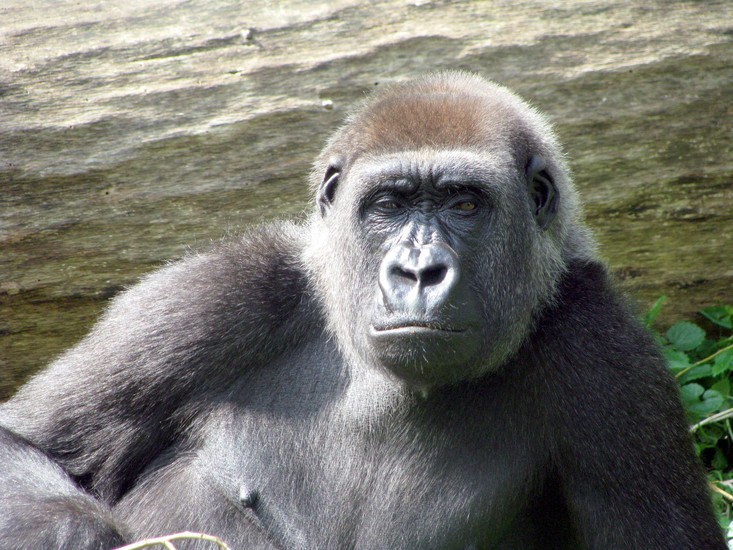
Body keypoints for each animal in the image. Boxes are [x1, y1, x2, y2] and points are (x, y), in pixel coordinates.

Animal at [0, 72, 725, 549]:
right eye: (389, 205)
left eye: (464, 203)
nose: (418, 273)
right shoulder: (223, 294)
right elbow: (27, 440)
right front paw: (75, 533)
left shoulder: (606, 356)